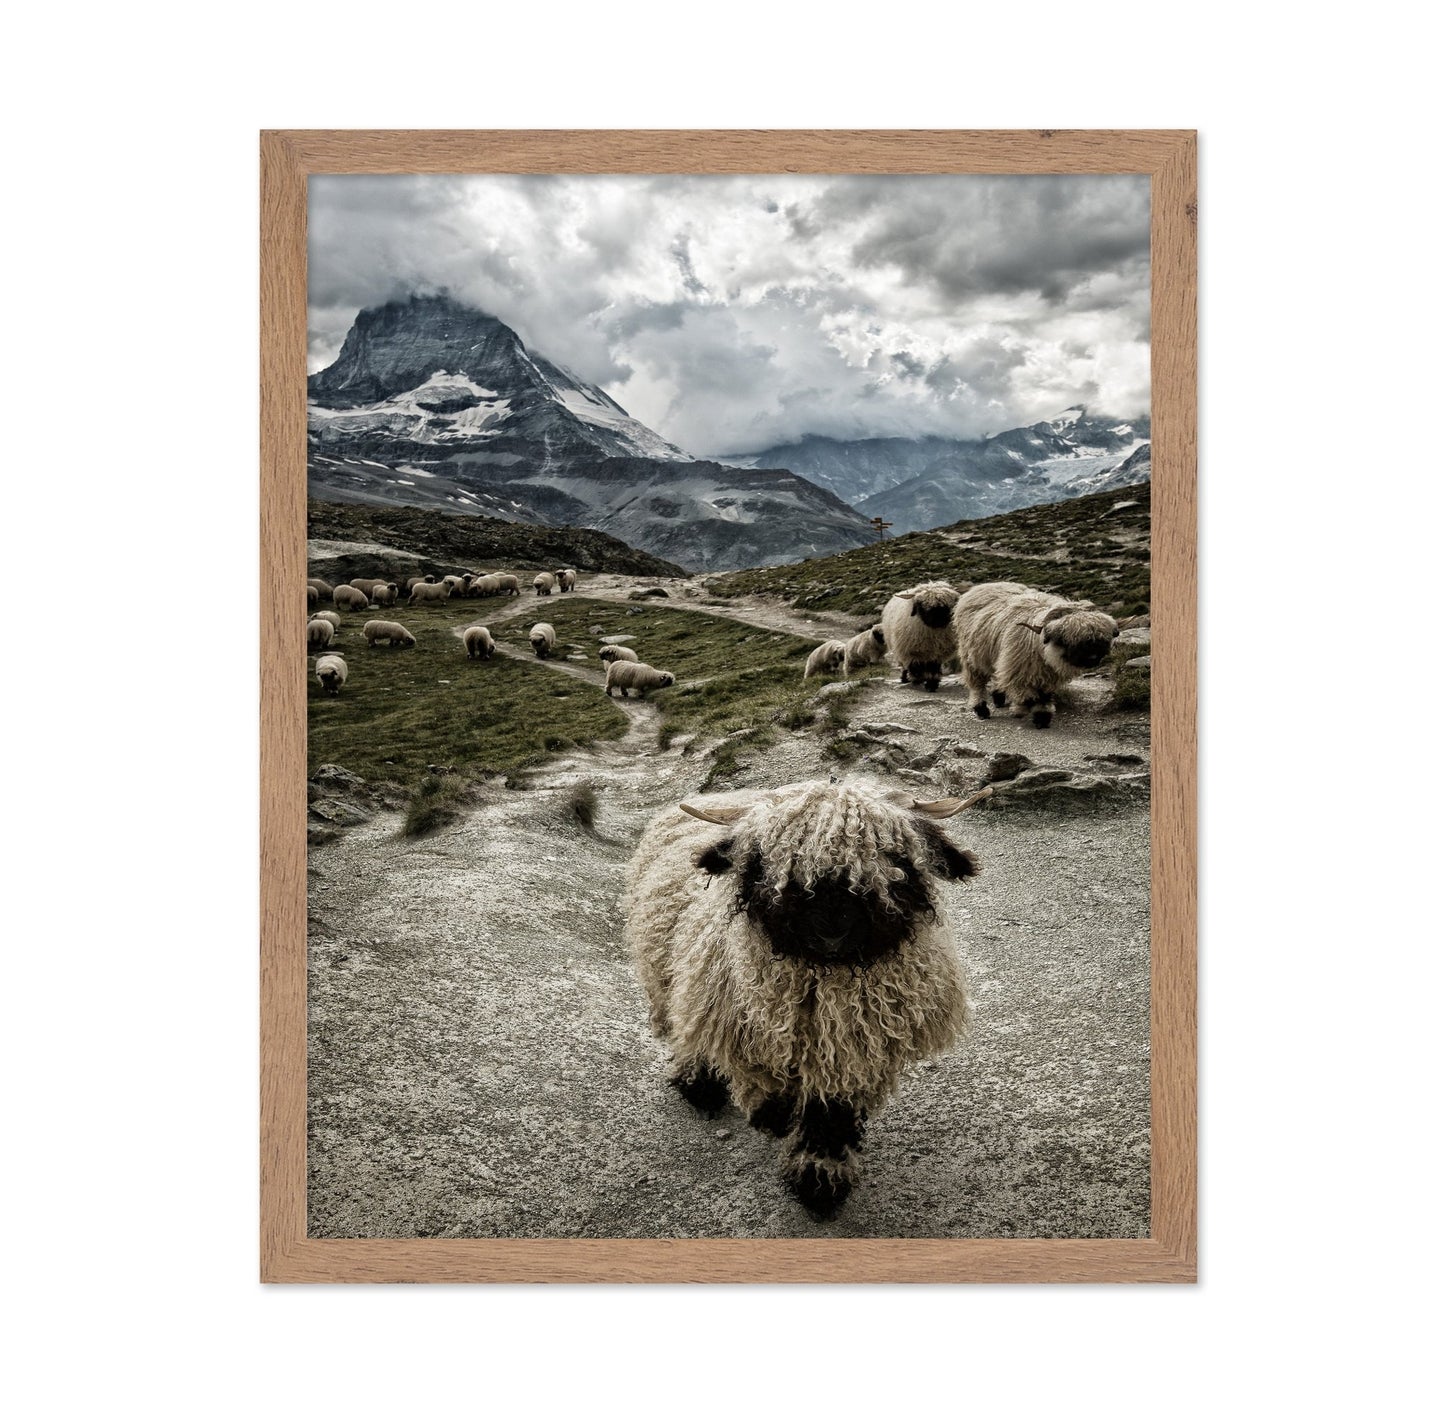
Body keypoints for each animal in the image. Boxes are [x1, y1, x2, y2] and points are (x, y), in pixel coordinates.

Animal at [625, 778, 989, 1217]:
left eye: (896, 857)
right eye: (770, 860)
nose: (831, 928)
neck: (827, 986)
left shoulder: (852, 1053)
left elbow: (830, 1115)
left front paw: (820, 1181)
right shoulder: (748, 1027)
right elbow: (766, 1086)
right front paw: (774, 1117)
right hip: (675, 978)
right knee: (688, 1026)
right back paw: (698, 1081)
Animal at [953, 581, 1119, 728]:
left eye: (1101, 640)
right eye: (1068, 640)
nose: (1093, 659)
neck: (1040, 648)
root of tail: (982, 586)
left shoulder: (1047, 677)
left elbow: (1043, 698)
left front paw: (1042, 718)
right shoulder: (1018, 672)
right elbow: (1029, 698)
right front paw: (1019, 710)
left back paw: (998, 697)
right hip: (972, 657)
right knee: (977, 685)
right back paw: (981, 709)